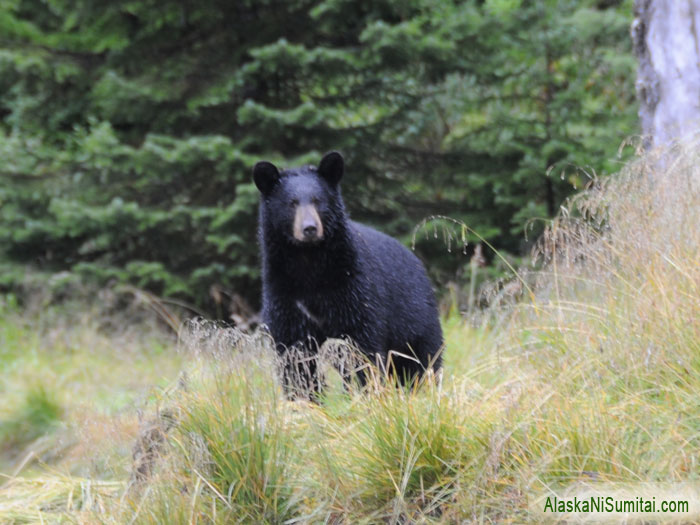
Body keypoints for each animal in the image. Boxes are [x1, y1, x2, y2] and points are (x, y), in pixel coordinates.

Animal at [254, 149, 442, 396]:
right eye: (291, 203)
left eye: (317, 201)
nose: (309, 228)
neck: (309, 262)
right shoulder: (283, 292)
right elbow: (295, 357)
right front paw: (304, 399)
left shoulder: (353, 285)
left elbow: (363, 345)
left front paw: (366, 392)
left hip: (415, 320)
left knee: (422, 361)